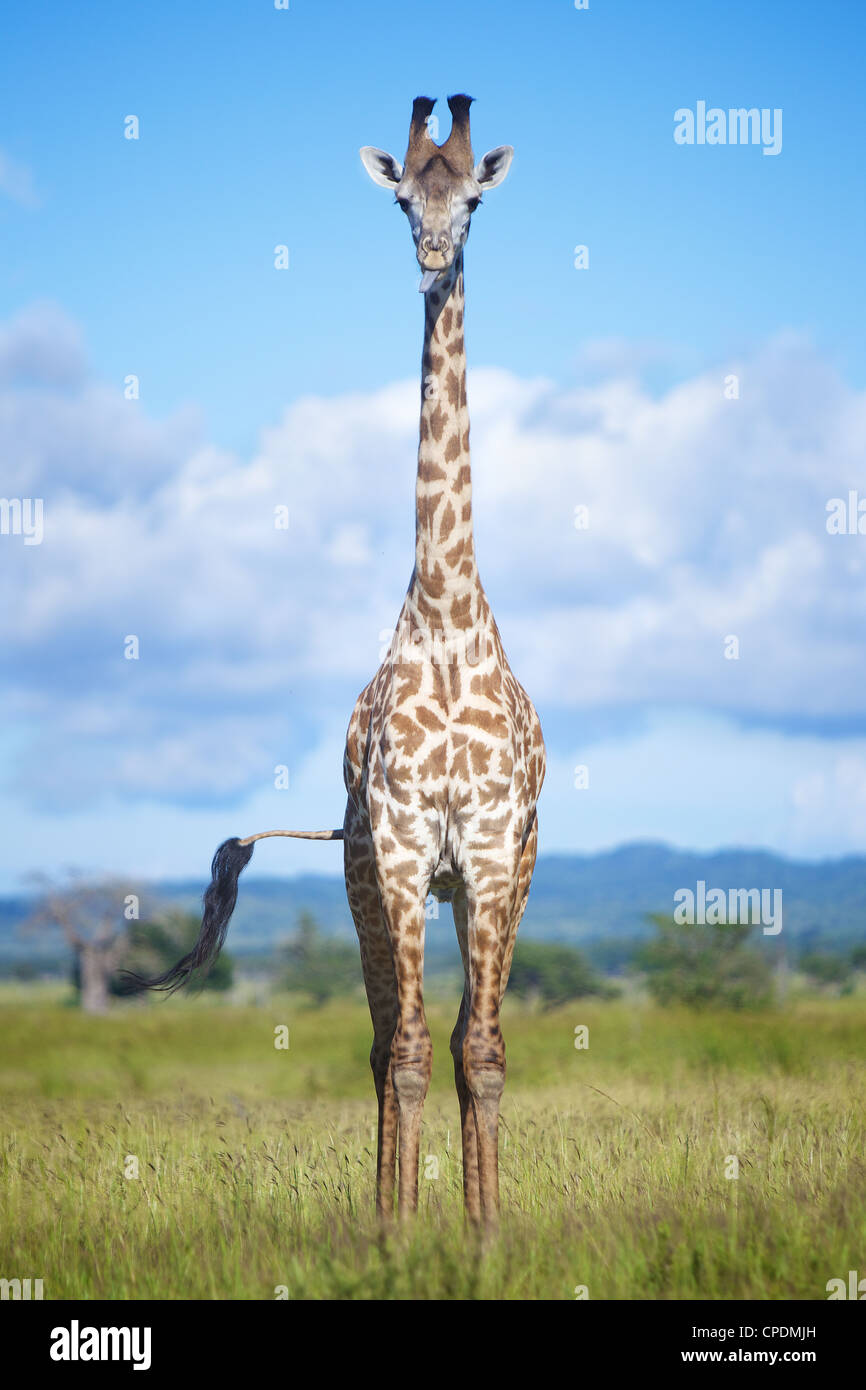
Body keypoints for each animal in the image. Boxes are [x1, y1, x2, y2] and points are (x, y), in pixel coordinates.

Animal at [132, 92, 544, 1234]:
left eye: (474, 198)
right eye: (405, 200)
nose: (433, 253)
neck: (446, 615)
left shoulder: (487, 853)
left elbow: (480, 1053)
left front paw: (485, 1235)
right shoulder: (399, 854)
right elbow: (404, 1051)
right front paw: (401, 1233)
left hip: (497, 877)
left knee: (461, 1038)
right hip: (365, 875)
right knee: (382, 1042)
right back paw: (387, 1211)